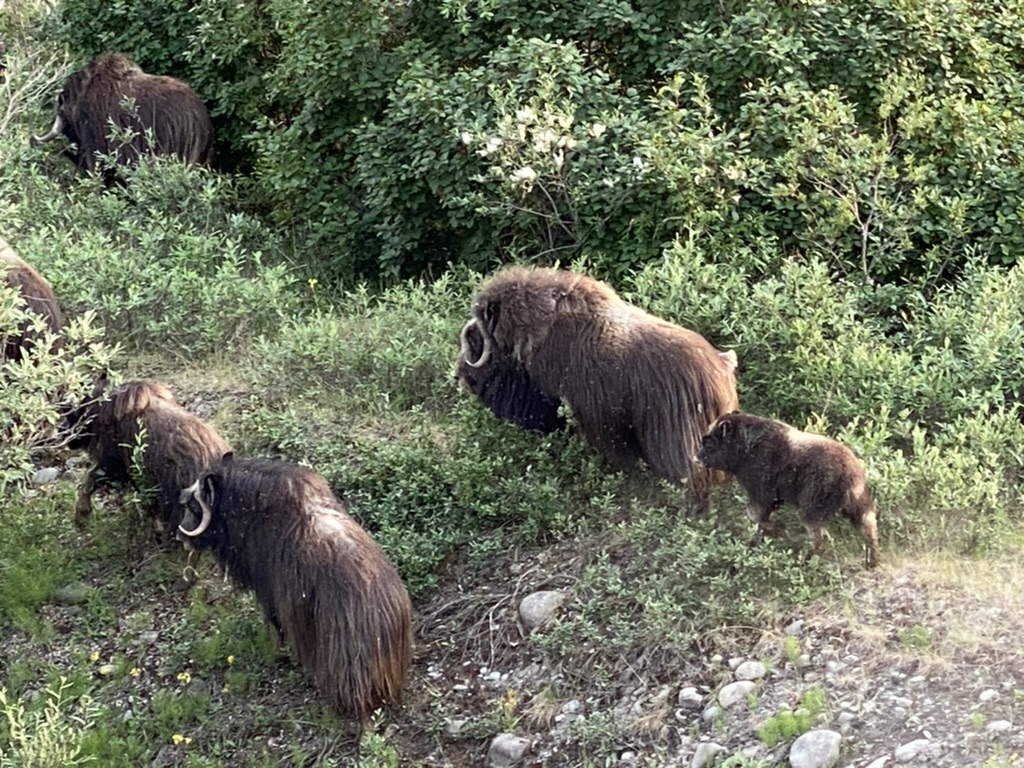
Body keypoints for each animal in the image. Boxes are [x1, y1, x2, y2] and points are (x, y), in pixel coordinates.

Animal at [696, 411, 880, 569]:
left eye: (710, 443)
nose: (696, 458)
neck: (746, 449)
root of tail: (850, 474)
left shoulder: (762, 490)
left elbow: (755, 513)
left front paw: (779, 529)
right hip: (857, 503)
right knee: (867, 523)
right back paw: (872, 560)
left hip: (814, 503)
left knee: (817, 532)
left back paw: (806, 559)